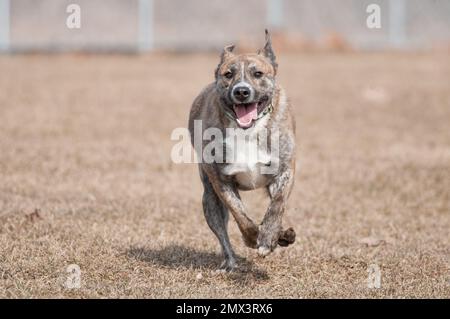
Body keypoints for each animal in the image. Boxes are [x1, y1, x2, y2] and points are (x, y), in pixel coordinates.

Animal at [189, 30, 298, 272]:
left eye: (258, 73)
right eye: (228, 74)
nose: (241, 91)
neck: (248, 130)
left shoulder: (284, 170)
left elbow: (277, 205)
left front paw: (269, 236)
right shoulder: (221, 181)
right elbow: (241, 216)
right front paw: (254, 237)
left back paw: (281, 234)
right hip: (209, 199)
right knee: (222, 233)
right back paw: (230, 262)